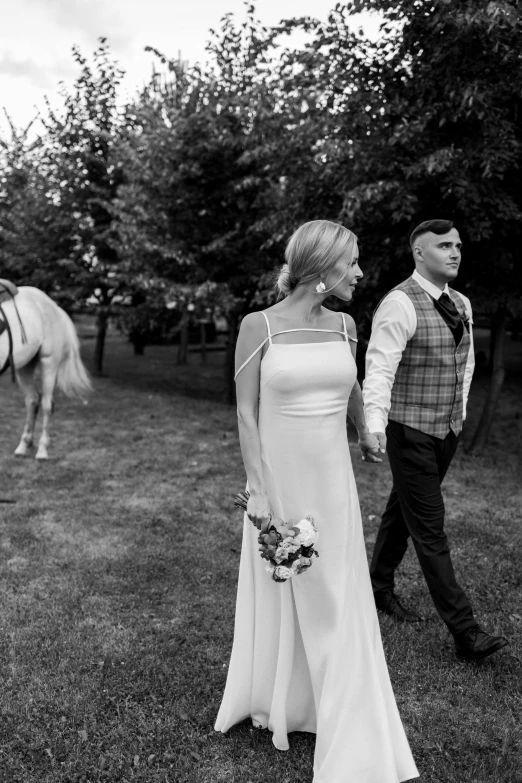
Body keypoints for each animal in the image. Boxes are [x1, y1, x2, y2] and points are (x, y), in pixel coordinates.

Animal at [0, 286, 91, 460]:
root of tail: (54, 306)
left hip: (49, 363)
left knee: (46, 404)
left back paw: (42, 450)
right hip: (25, 366)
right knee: (32, 401)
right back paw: (24, 445)